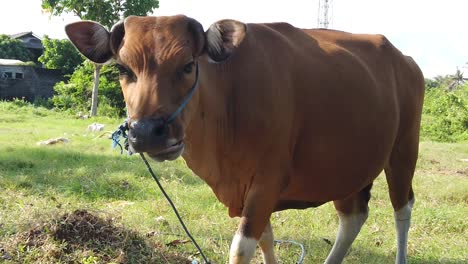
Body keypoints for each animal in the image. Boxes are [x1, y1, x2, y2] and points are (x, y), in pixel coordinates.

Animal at [66, 14, 424, 264]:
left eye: (188, 65)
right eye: (123, 69)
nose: (146, 133)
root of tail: (406, 61)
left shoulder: (267, 181)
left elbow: (242, 249)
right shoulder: (245, 189)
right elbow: (266, 238)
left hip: (404, 150)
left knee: (402, 208)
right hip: (347, 168)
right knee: (353, 216)